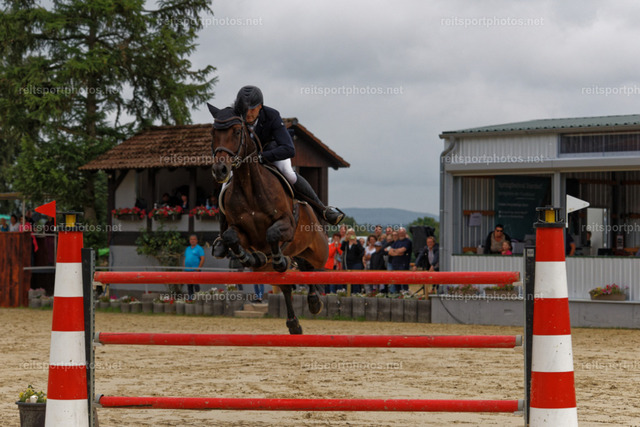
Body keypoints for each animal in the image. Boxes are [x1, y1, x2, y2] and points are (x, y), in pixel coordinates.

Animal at [207, 104, 329, 335]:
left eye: (237, 131)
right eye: (213, 133)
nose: (220, 170)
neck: (249, 187)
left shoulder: (287, 225)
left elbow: (272, 233)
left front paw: (277, 258)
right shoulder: (241, 232)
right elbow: (230, 238)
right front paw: (252, 257)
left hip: (319, 250)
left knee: (311, 268)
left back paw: (314, 301)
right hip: (280, 263)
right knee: (288, 283)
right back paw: (294, 323)